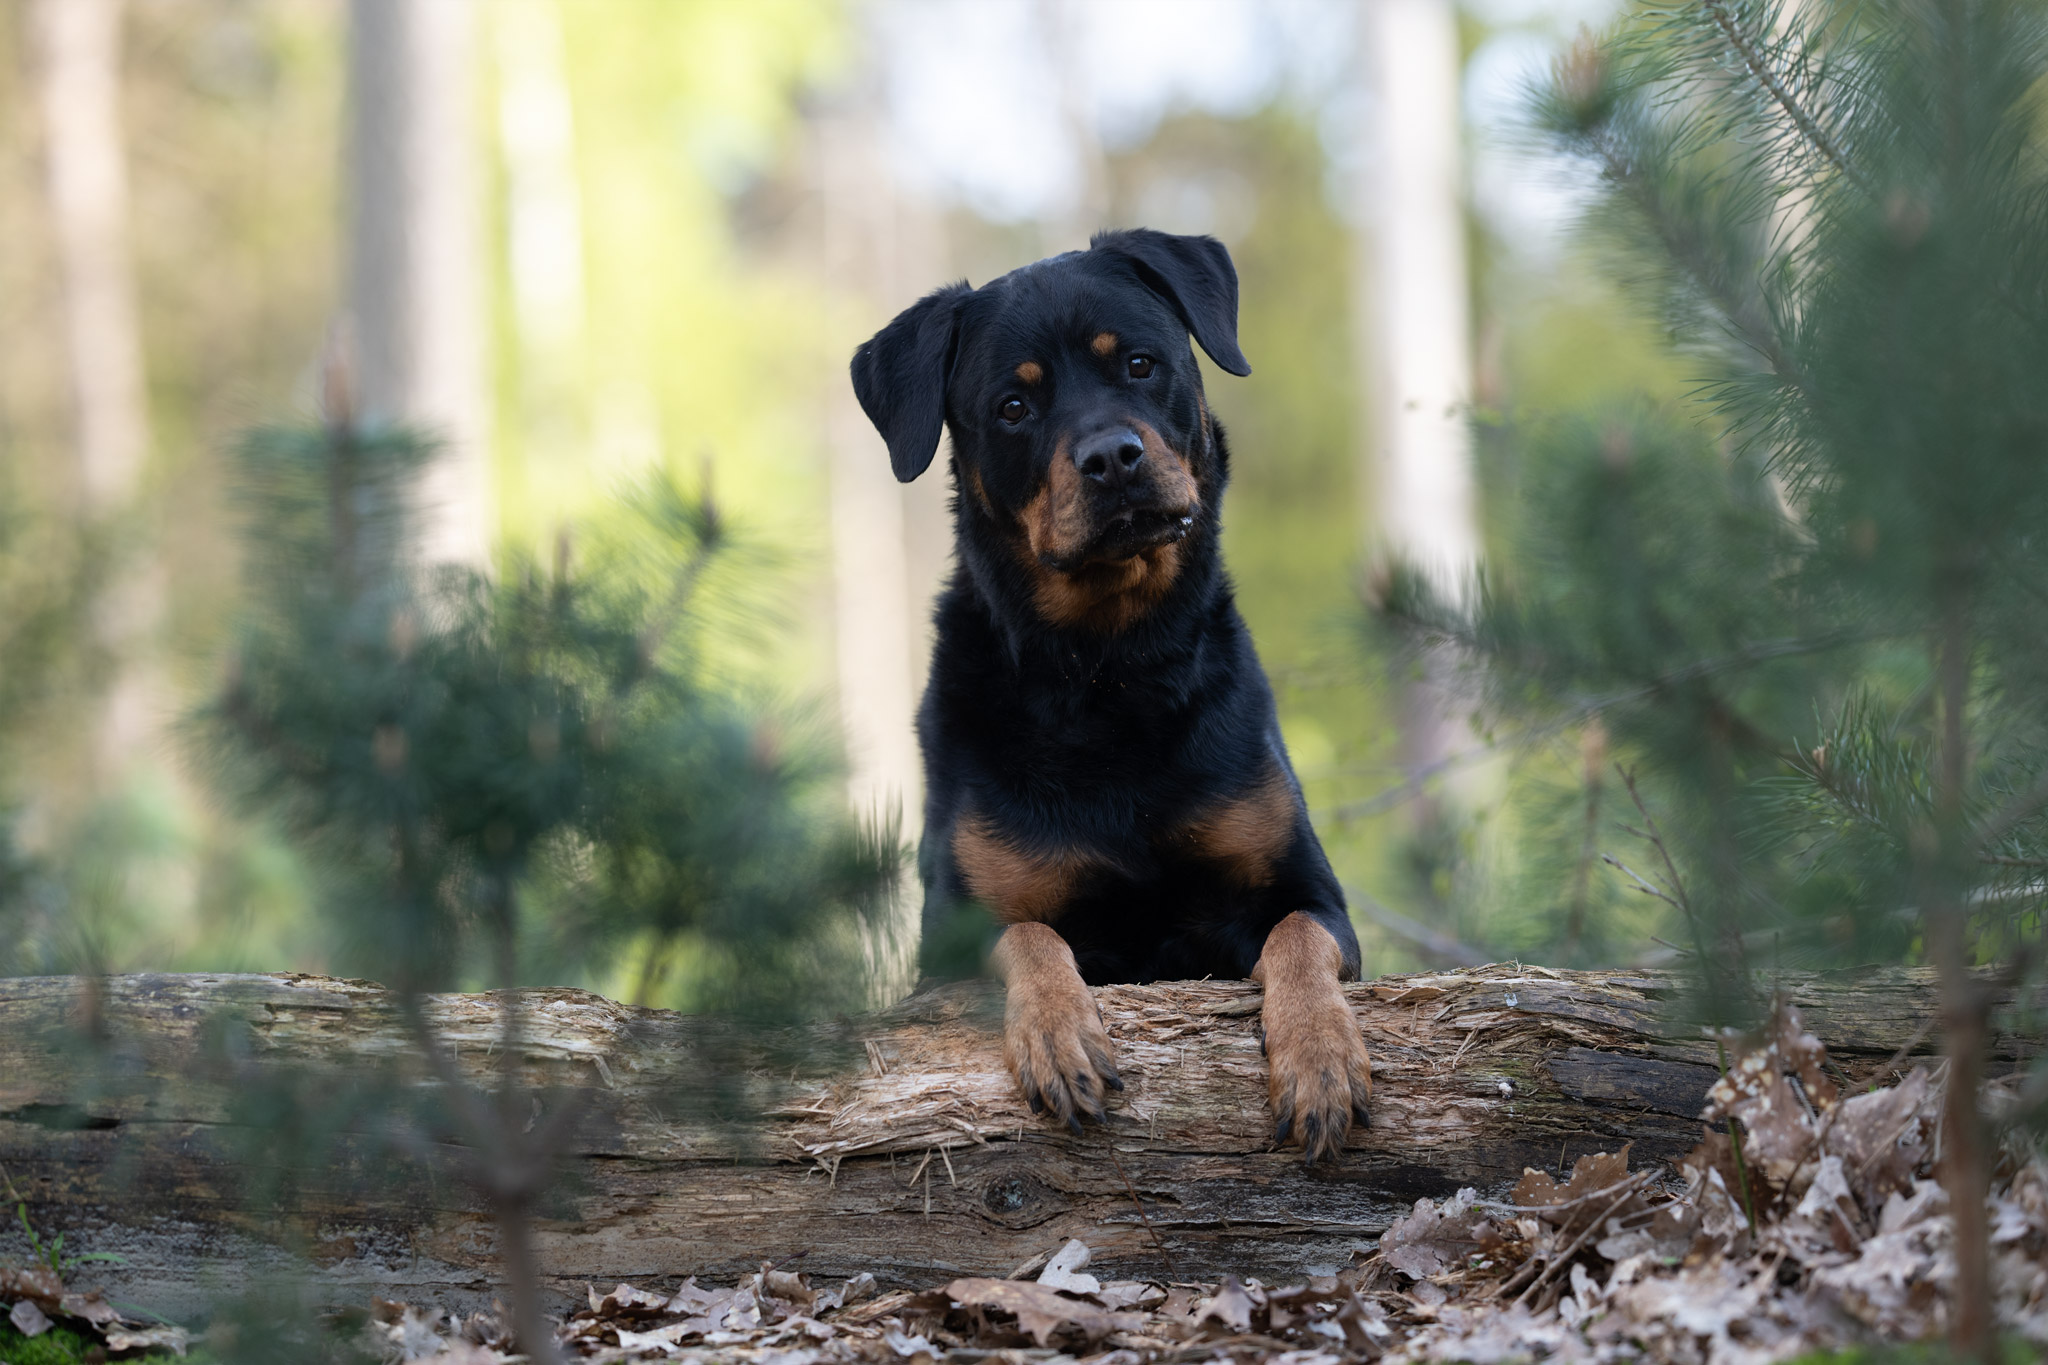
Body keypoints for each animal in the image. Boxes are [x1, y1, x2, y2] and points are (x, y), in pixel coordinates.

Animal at [847, 227, 1376, 1162]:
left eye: (1138, 363)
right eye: (1012, 407)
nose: (1110, 457)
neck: (1111, 671)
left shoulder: (1309, 892)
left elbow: (1297, 934)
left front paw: (1320, 1057)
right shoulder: (945, 946)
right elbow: (1025, 933)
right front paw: (1059, 1032)